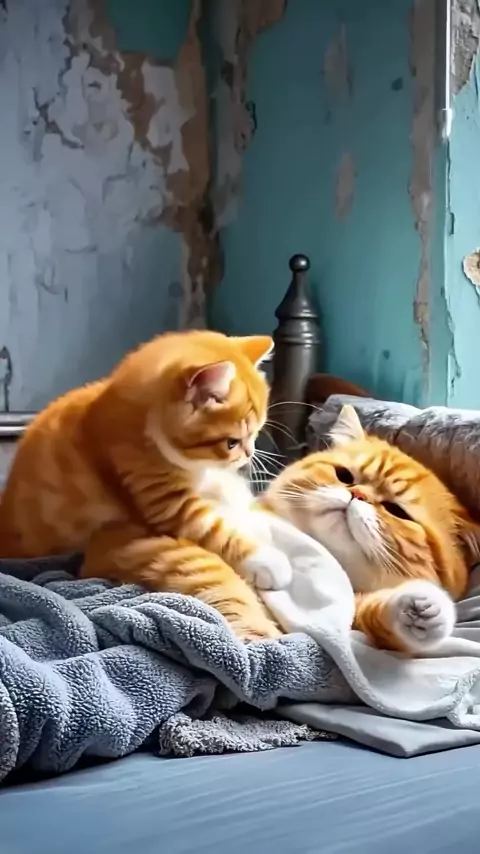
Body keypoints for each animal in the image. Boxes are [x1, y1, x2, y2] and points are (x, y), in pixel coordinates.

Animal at [0, 330, 291, 641]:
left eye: (257, 432)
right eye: (232, 442)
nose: (249, 453)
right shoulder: (162, 499)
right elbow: (213, 529)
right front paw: (267, 560)